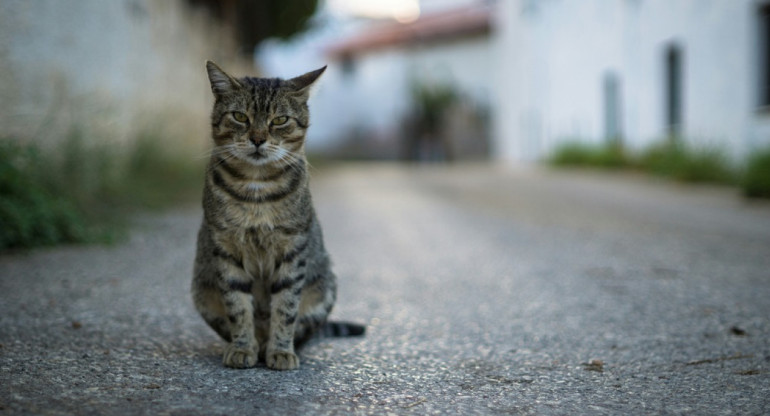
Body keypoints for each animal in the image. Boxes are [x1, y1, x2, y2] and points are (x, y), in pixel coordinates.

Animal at [190, 60, 362, 368]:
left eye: (280, 120)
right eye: (240, 116)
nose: (258, 139)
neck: (257, 188)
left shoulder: (293, 248)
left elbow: (286, 306)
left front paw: (281, 351)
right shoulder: (225, 247)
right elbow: (238, 307)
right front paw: (242, 348)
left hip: (324, 289)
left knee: (301, 328)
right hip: (202, 290)